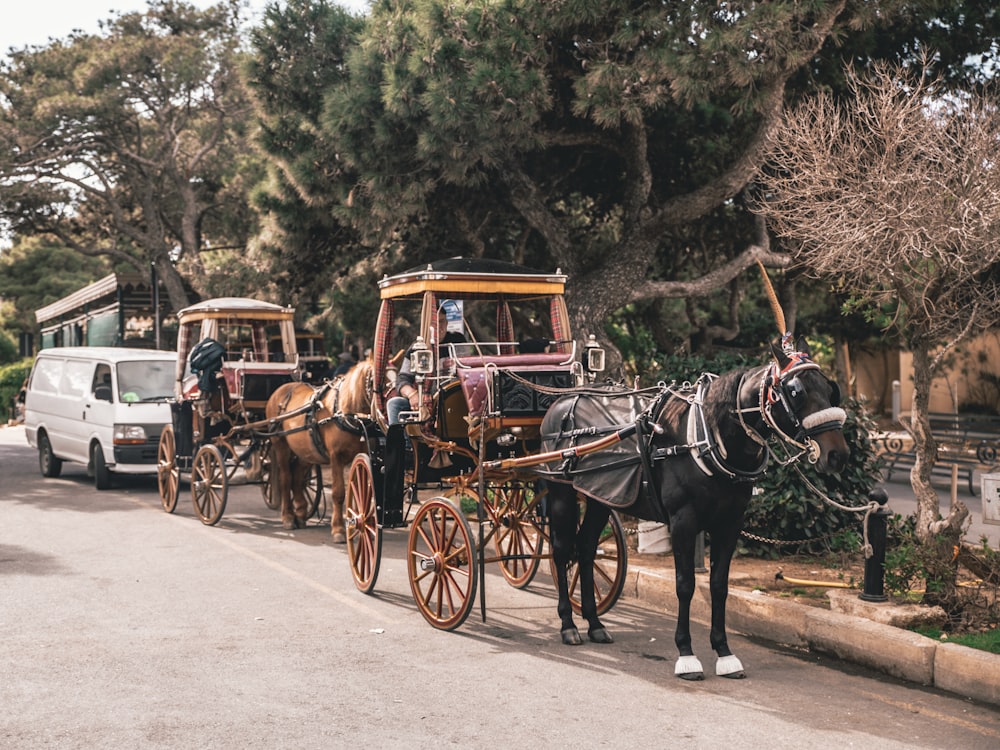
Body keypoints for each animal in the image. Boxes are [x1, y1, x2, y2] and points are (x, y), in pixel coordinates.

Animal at [266, 360, 376, 540]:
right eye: (375, 381)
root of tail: (280, 391)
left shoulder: (363, 455)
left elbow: (362, 491)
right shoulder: (336, 457)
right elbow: (339, 493)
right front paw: (338, 529)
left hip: (306, 451)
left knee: (297, 477)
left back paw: (301, 513)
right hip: (280, 444)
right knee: (286, 478)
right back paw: (288, 517)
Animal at [544, 340, 848, 680]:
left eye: (829, 388)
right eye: (796, 392)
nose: (837, 454)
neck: (708, 438)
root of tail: (563, 401)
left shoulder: (730, 524)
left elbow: (718, 586)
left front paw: (724, 652)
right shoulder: (683, 523)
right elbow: (685, 585)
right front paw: (686, 653)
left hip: (599, 496)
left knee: (585, 548)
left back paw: (595, 624)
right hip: (560, 490)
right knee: (561, 551)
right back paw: (568, 625)